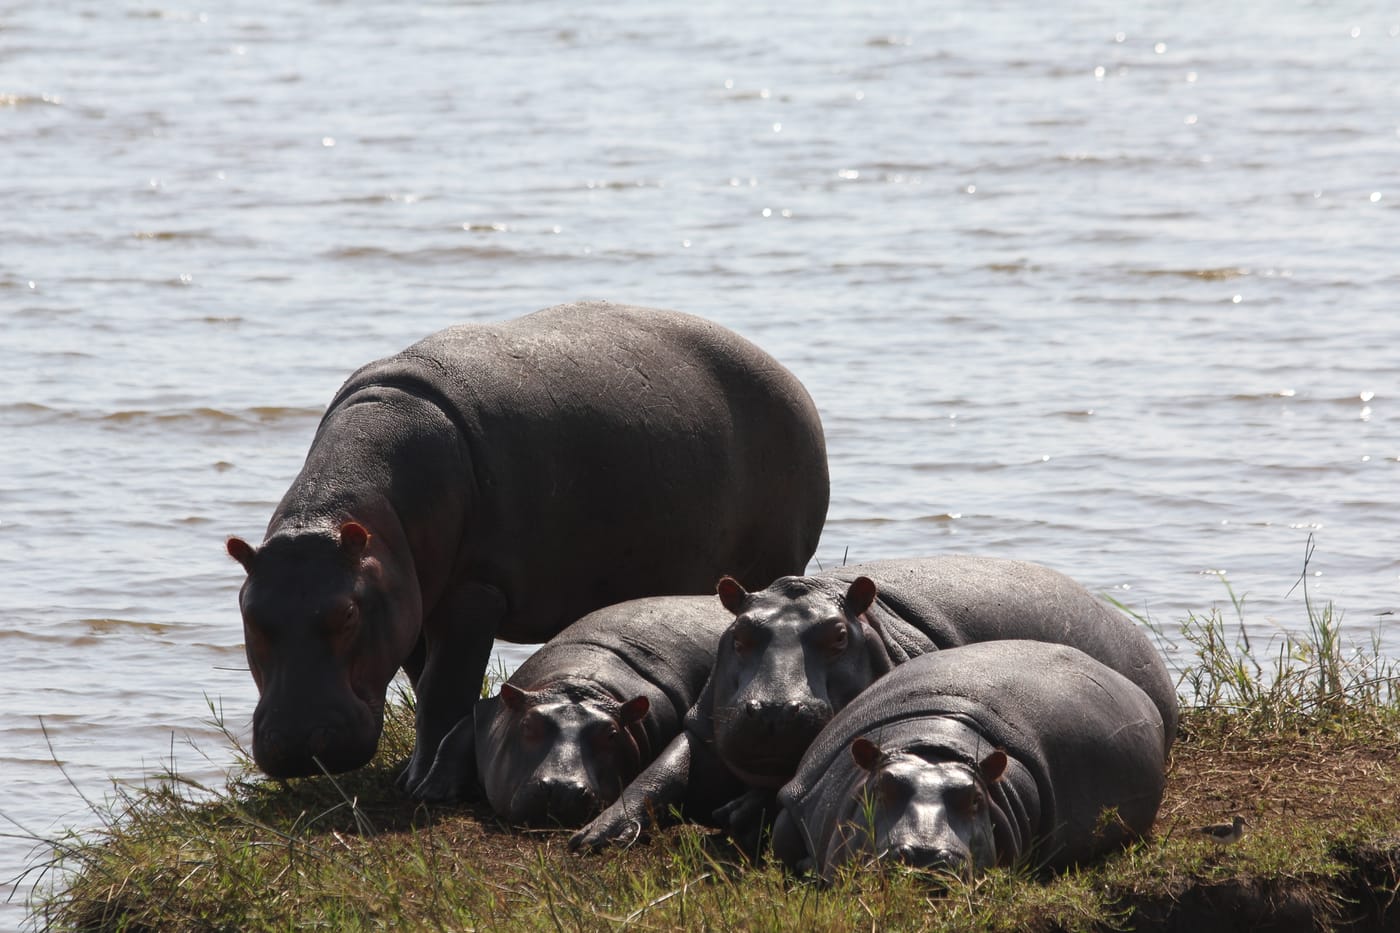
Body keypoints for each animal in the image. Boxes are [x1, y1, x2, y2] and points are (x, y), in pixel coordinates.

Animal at [225, 301, 829, 794]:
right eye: (248, 611)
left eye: (346, 613)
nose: (298, 745)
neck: (359, 512)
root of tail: (791, 378)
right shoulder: (407, 597)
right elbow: (421, 680)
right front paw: (412, 772)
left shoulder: (472, 592)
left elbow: (443, 687)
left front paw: (419, 785)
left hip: (777, 556)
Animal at [413, 594, 734, 824]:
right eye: (528, 724)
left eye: (612, 734)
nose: (562, 788)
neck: (578, 684)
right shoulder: (491, 711)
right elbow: (456, 732)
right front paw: (430, 792)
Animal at [570, 556, 1175, 852]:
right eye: (740, 633)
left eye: (839, 635)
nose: (775, 709)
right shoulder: (705, 725)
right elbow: (663, 769)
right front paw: (596, 835)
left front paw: (737, 814)